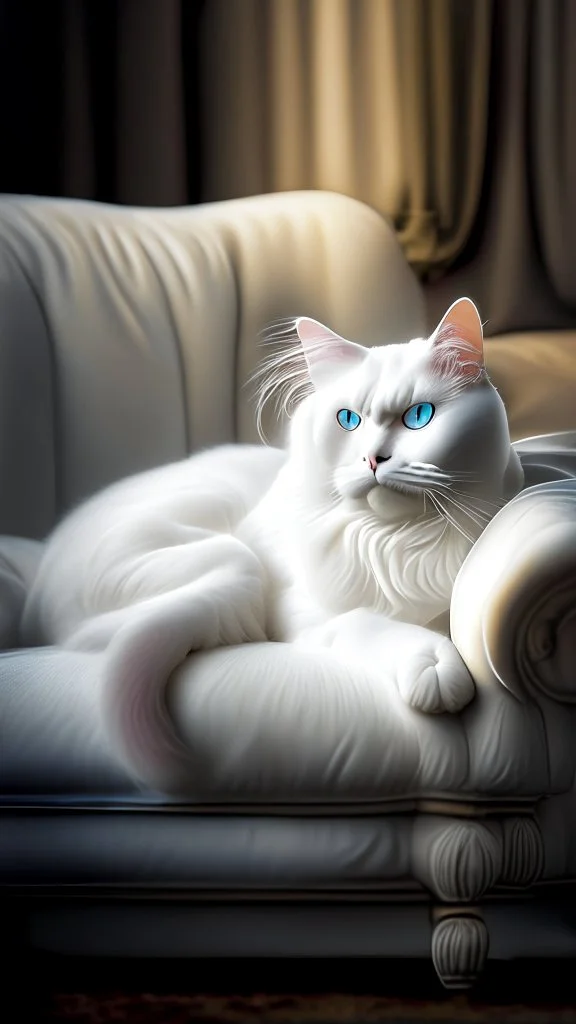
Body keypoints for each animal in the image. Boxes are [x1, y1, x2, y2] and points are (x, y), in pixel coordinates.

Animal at [20, 294, 522, 782]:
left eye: (419, 416)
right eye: (348, 420)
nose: (371, 459)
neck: (399, 543)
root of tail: (42, 585)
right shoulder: (305, 617)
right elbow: (373, 624)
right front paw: (435, 668)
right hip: (233, 561)